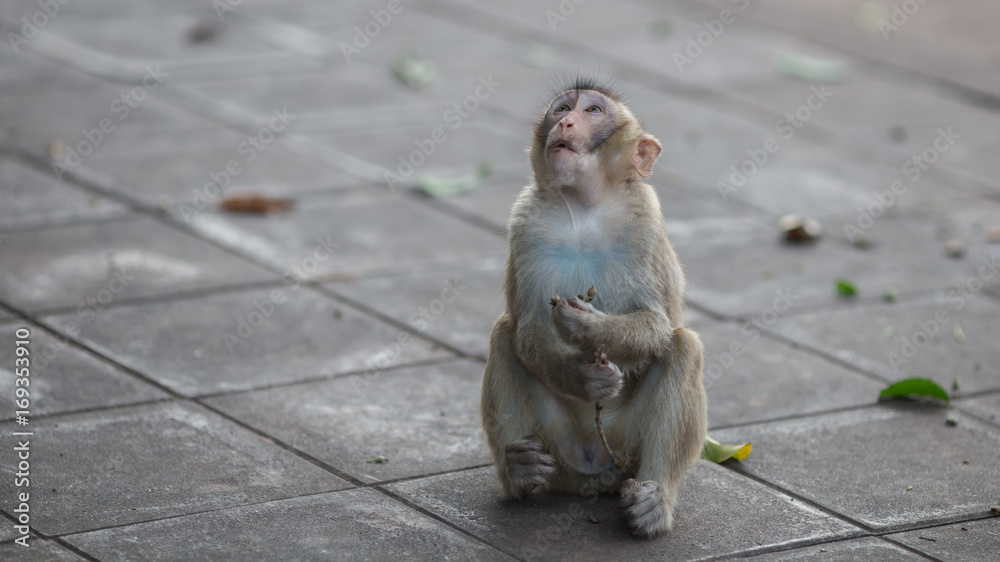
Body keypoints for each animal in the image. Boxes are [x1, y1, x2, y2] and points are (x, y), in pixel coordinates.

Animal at [480, 78, 707, 538]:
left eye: (594, 111)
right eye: (563, 107)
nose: (566, 121)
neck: (582, 210)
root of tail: (594, 472)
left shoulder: (644, 223)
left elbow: (657, 324)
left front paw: (589, 329)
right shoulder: (525, 223)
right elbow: (528, 329)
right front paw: (585, 380)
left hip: (625, 443)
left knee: (683, 346)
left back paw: (654, 500)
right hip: (556, 440)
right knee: (504, 334)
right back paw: (519, 472)